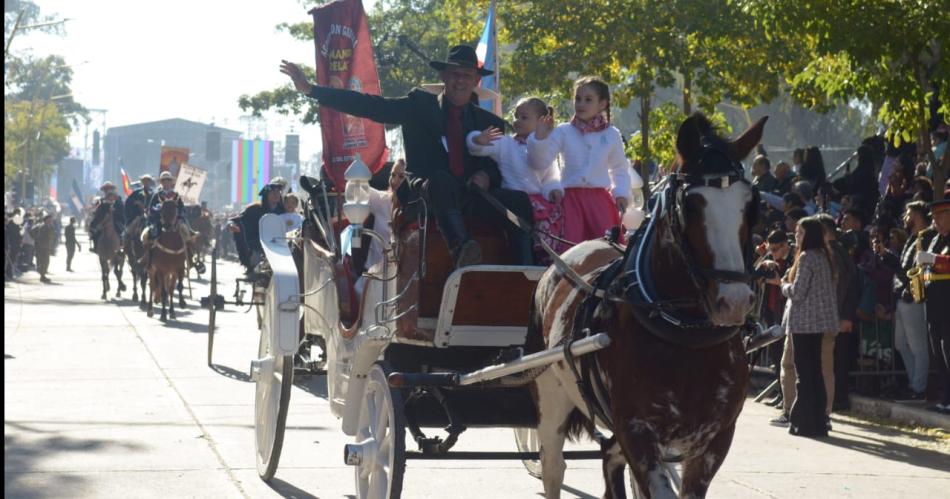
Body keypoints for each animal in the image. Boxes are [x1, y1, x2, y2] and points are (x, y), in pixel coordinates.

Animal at [532, 114, 768, 499]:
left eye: (752, 204)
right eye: (691, 205)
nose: (733, 301)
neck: (686, 339)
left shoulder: (715, 439)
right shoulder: (637, 430)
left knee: (609, 458)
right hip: (551, 394)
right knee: (553, 466)